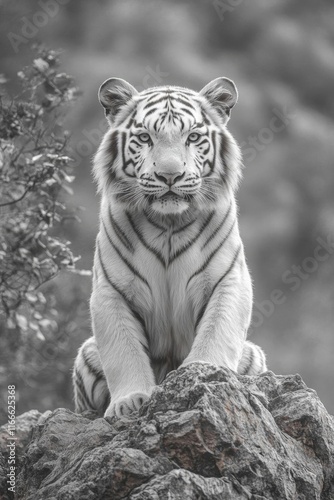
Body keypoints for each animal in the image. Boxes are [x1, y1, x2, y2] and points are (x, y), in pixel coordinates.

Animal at [72, 75, 266, 418]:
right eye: (145, 137)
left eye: (193, 137)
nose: (170, 175)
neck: (169, 225)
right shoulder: (111, 289)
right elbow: (123, 350)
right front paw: (129, 402)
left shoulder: (229, 279)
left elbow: (217, 331)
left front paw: (204, 374)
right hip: (87, 353)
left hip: (254, 356)